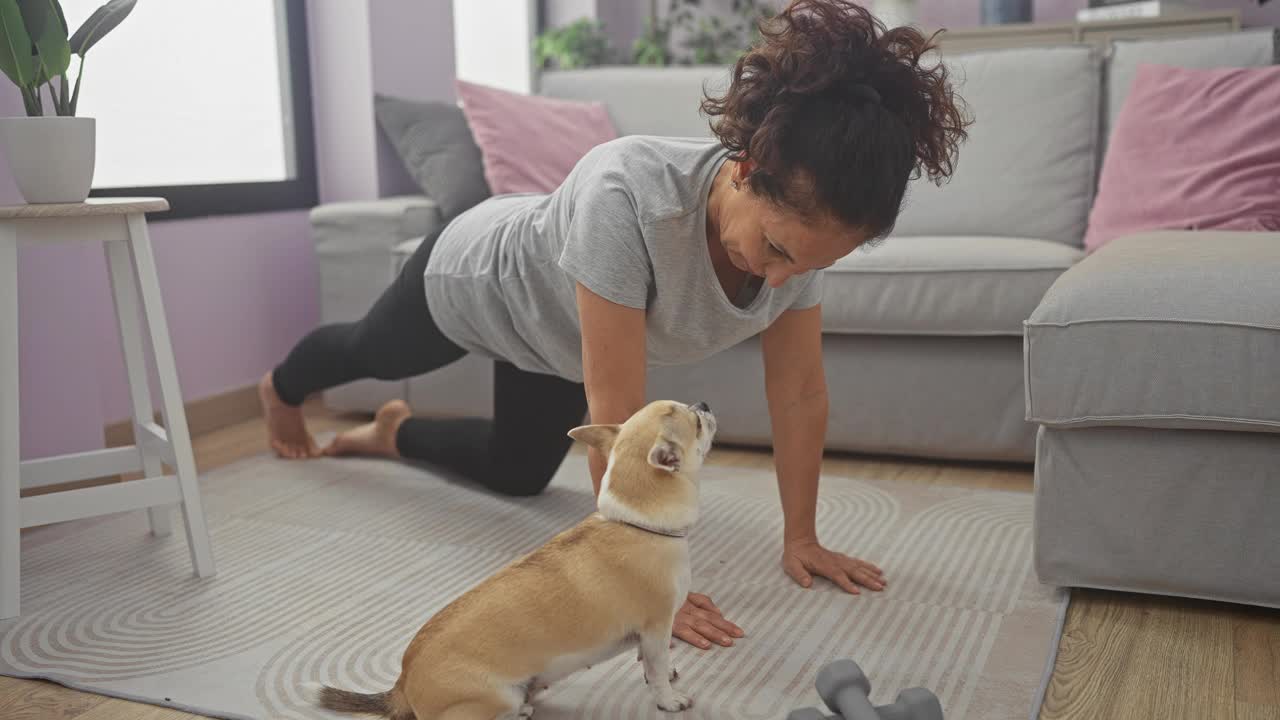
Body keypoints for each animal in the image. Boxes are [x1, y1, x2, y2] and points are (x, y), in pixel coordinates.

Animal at [304, 397, 716, 717]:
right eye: (697, 424)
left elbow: (651, 664)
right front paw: (669, 700)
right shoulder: (656, 626)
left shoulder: (651, 637)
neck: (636, 522)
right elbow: (657, 671)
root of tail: (402, 685)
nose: (705, 404)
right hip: (497, 696)